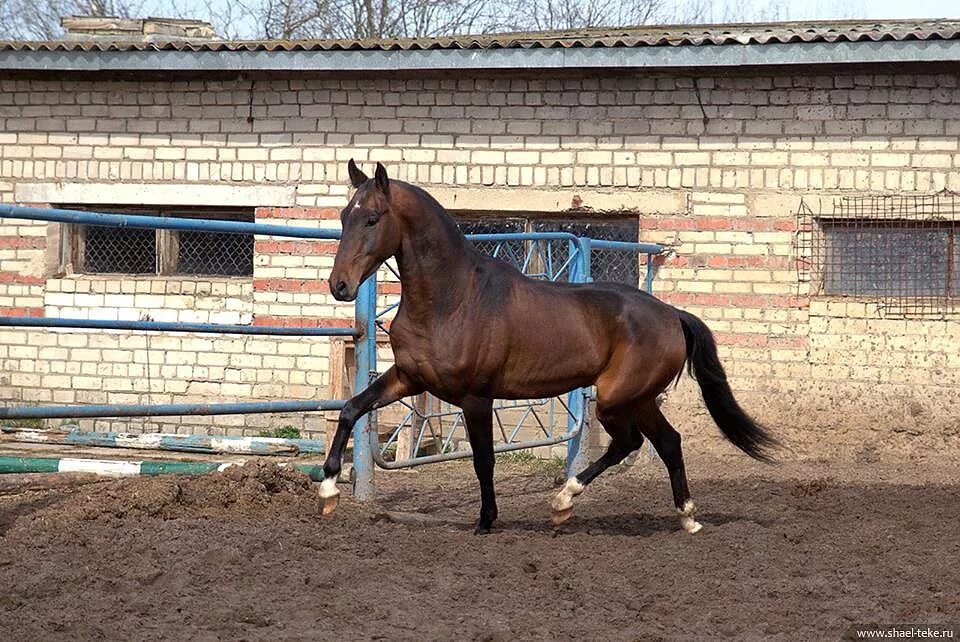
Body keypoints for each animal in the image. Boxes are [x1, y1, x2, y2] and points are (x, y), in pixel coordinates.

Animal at [318, 161, 776, 536]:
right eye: (343, 215)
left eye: (372, 218)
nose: (339, 286)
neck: (452, 299)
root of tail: (672, 314)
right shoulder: (408, 379)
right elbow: (351, 409)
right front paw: (327, 490)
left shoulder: (475, 397)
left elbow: (484, 460)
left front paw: (486, 521)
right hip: (638, 398)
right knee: (667, 442)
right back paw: (687, 517)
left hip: (616, 398)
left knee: (629, 443)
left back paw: (563, 502)